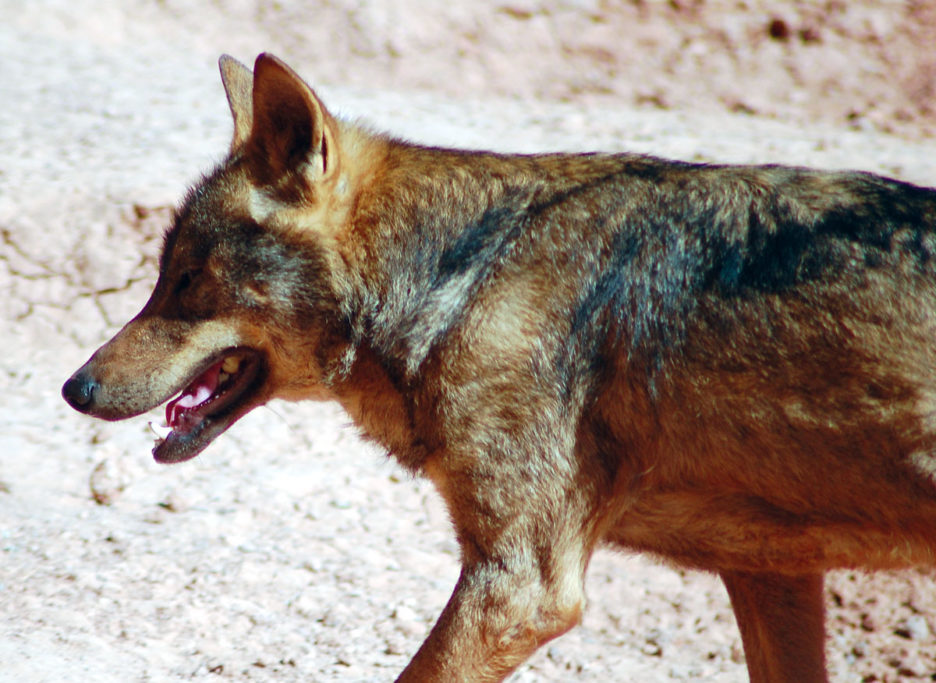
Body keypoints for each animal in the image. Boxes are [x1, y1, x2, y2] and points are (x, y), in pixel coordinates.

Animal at [66, 54, 936, 683]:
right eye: (160, 277)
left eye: (186, 281)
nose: (75, 388)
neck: (464, 277)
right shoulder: (772, 571)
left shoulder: (521, 587)